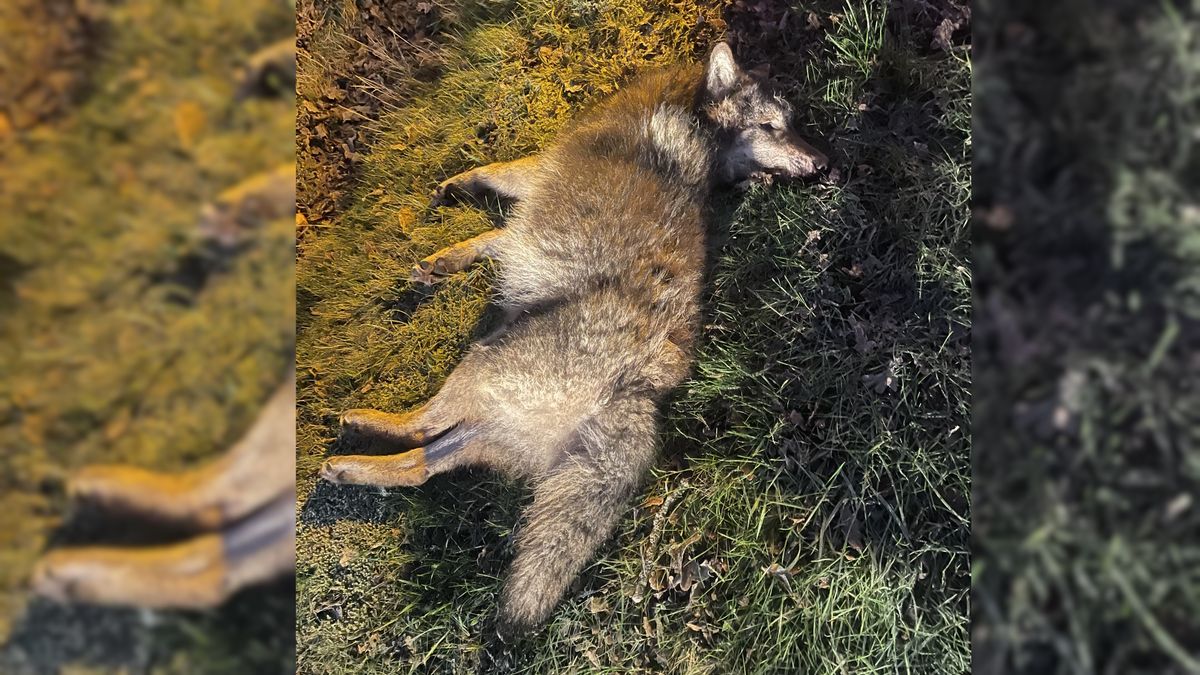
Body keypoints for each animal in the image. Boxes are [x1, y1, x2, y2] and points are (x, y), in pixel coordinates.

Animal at [321, 42, 828, 633]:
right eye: (776, 127)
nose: (824, 163)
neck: (699, 129)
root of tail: (639, 389)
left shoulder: (537, 175)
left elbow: (493, 193)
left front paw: (452, 219)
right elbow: (493, 232)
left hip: (485, 360)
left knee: (421, 427)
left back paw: (363, 424)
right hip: (493, 410)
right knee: (419, 467)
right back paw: (355, 465)